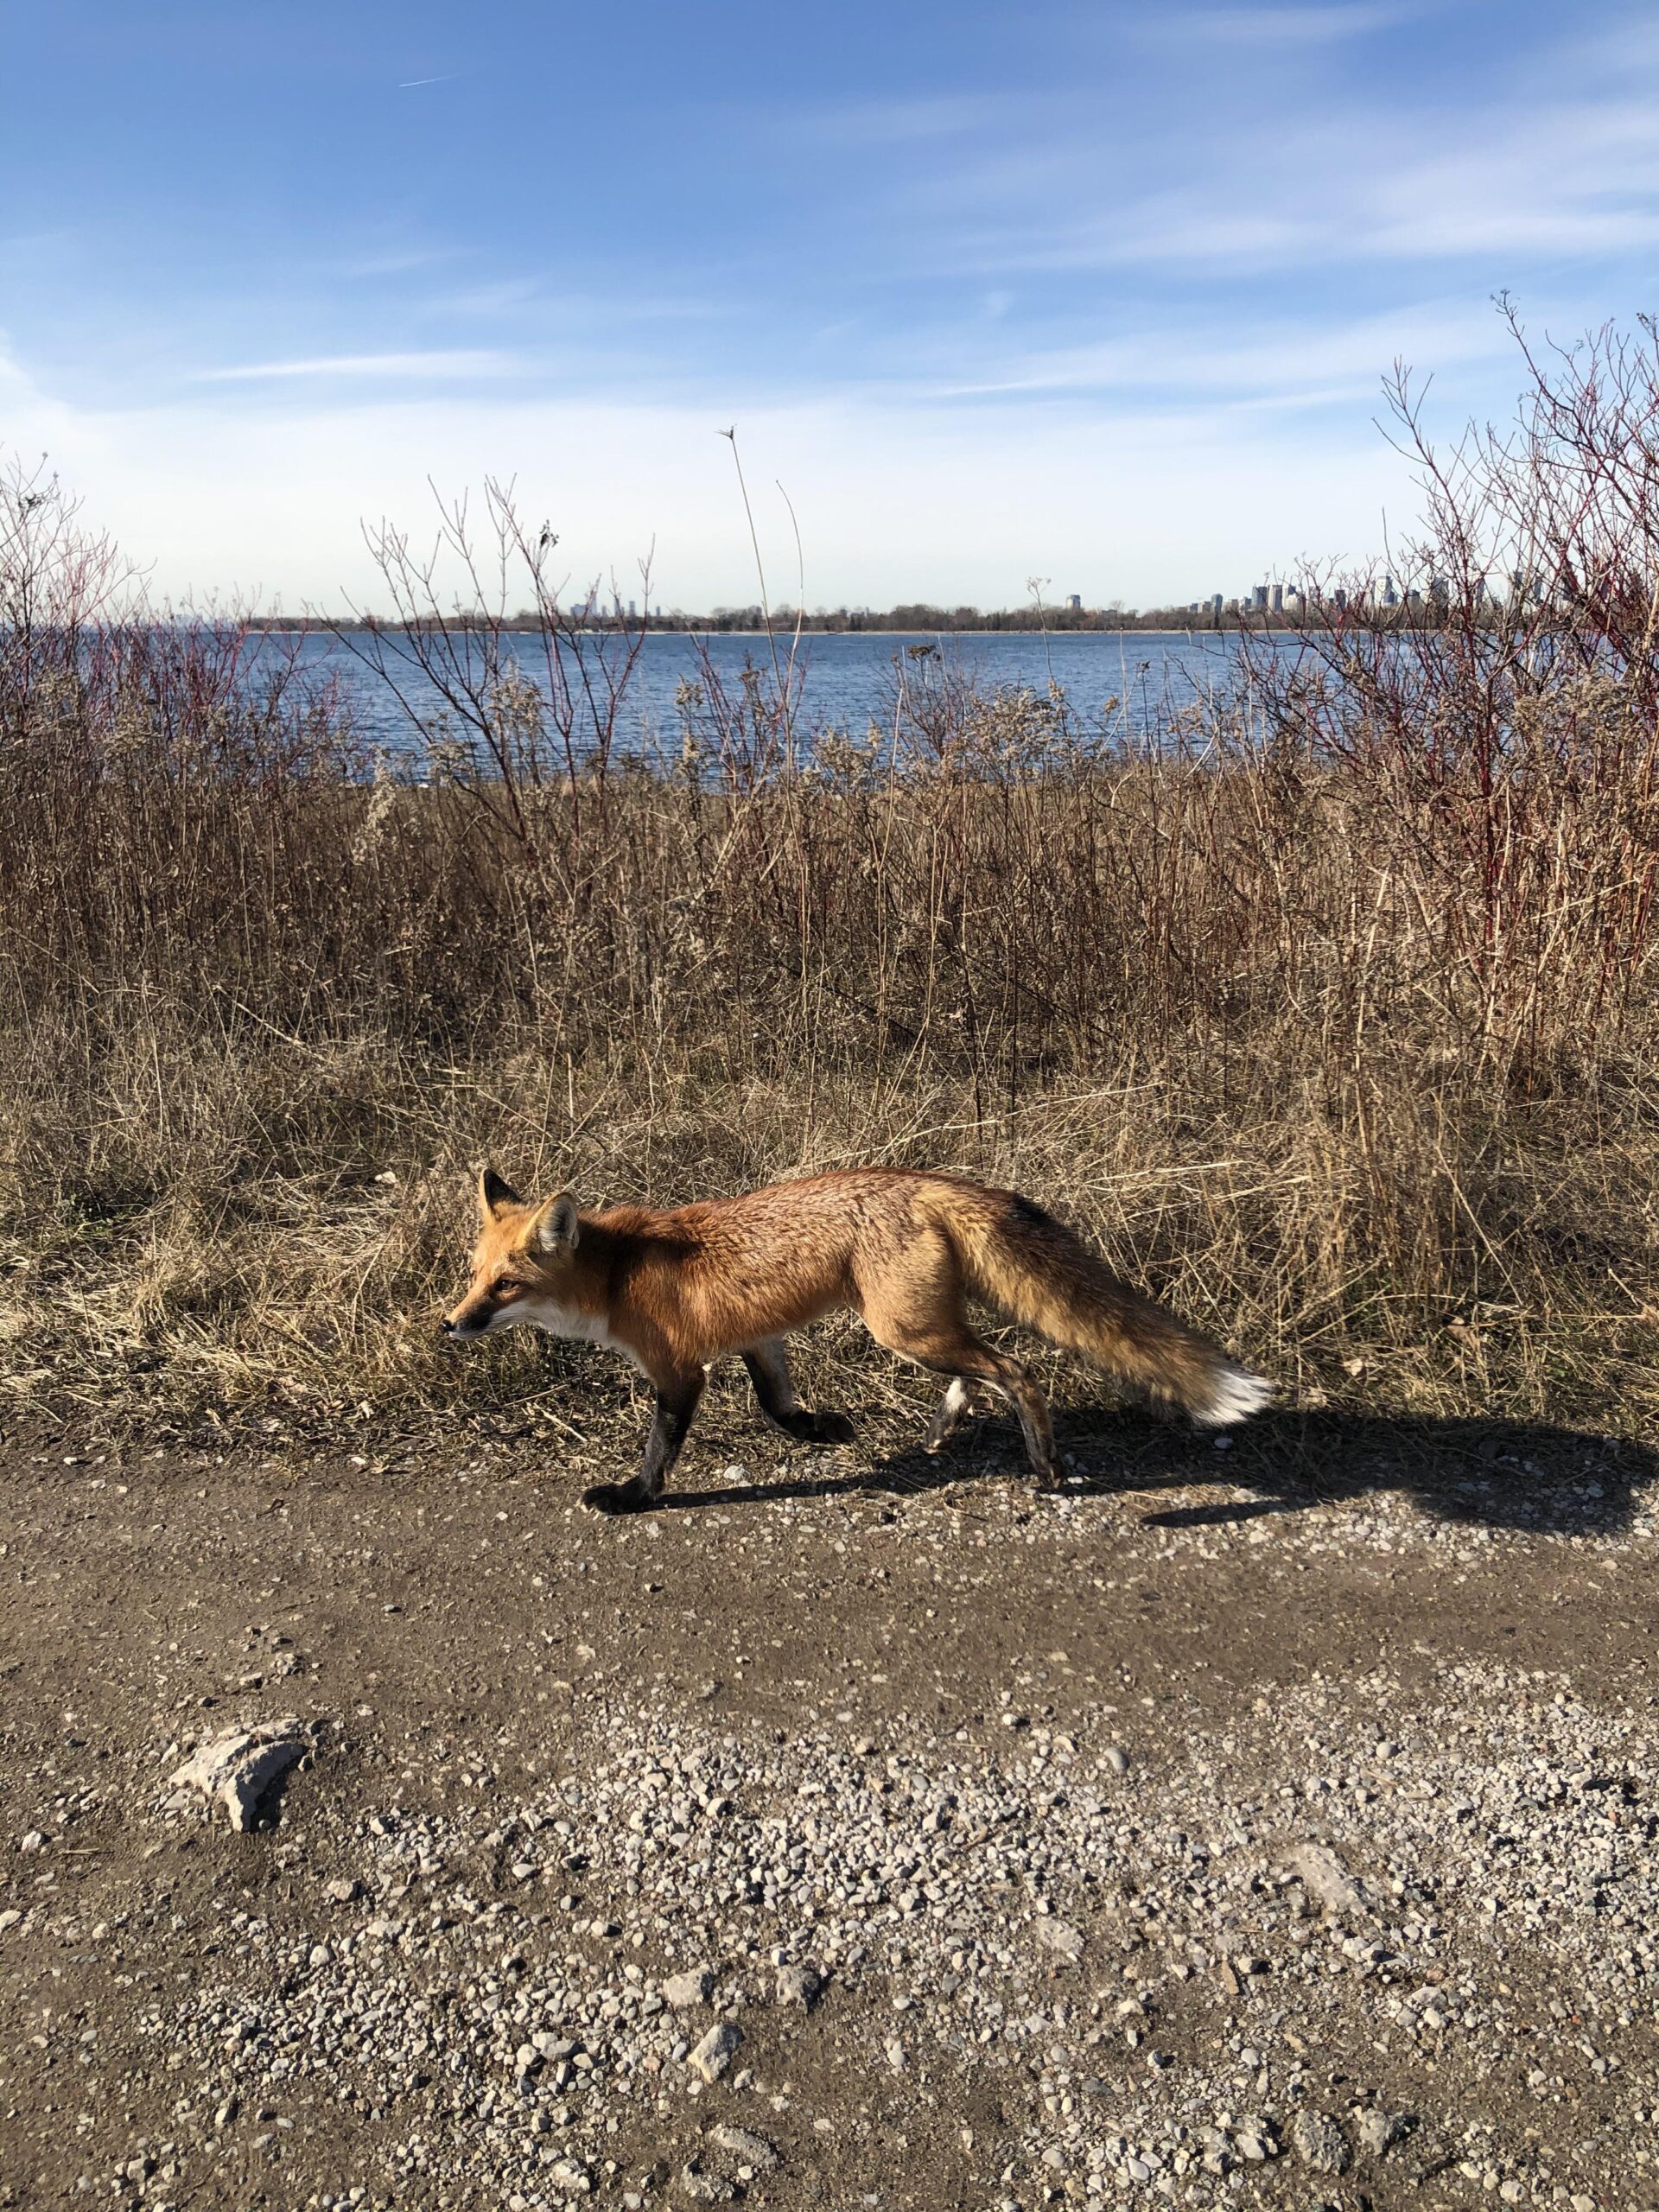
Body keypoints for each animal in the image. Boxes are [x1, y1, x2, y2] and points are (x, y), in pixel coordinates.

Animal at [442, 1167, 1274, 1513]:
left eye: (506, 1286)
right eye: (474, 1276)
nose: (451, 1323)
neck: (616, 1276)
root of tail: (933, 1180)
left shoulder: (679, 1371)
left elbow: (659, 1452)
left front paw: (632, 1499)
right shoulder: (761, 1339)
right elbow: (775, 1406)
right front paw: (824, 1430)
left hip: (902, 1329)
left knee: (1018, 1369)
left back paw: (1044, 1465)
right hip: (922, 1329)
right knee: (986, 1369)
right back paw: (947, 1424)